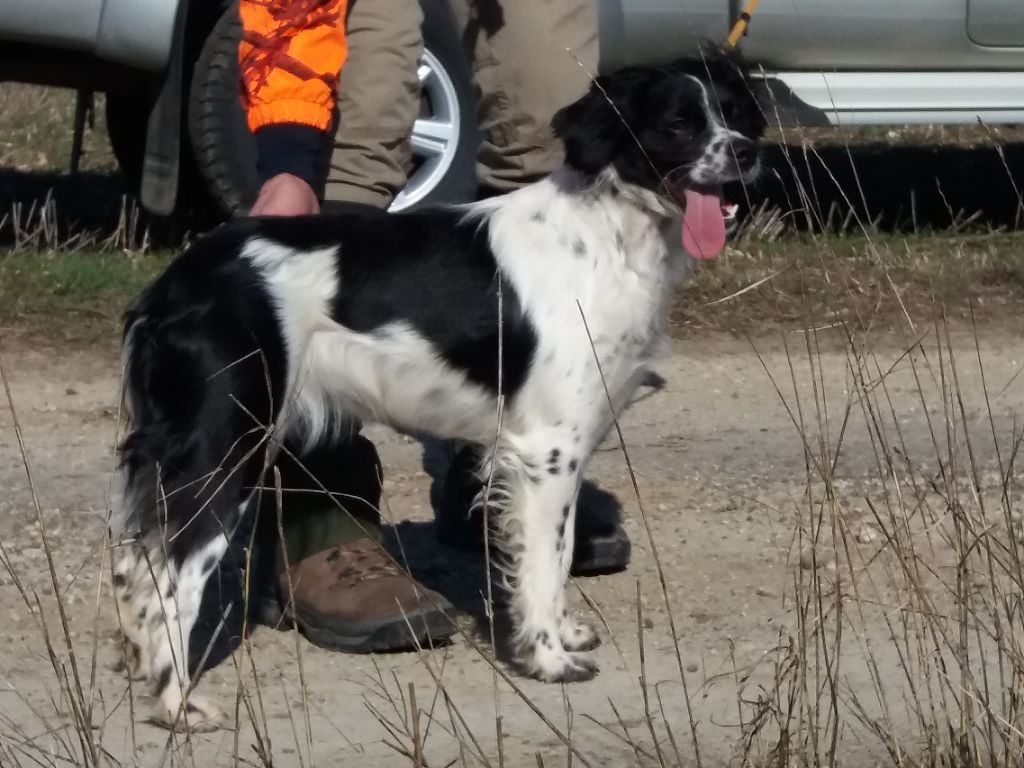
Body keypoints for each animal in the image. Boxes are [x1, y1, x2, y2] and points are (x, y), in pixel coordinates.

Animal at [116, 55, 765, 733]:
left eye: (738, 115)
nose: (747, 153)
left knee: (134, 569)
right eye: (678, 124)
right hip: (227, 449)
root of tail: (174, 285)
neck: (607, 231)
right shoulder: (547, 450)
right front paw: (548, 658)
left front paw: (563, 633)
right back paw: (177, 704)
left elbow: (560, 554)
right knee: (171, 580)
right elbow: (543, 562)